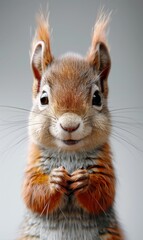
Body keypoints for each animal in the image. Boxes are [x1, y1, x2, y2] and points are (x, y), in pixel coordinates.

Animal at [18, 11, 124, 240]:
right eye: (43, 99)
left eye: (97, 98)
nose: (69, 125)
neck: (69, 154)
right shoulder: (34, 161)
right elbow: (31, 192)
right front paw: (54, 180)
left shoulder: (105, 162)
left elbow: (105, 192)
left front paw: (84, 181)